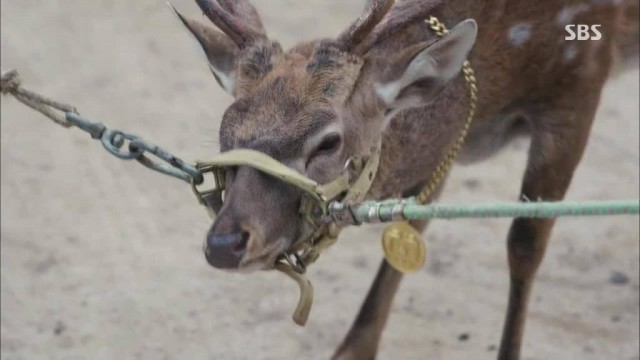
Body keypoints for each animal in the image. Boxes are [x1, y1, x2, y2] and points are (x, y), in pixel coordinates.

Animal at [171, 0, 640, 358]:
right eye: (225, 134)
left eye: (328, 142)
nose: (224, 243)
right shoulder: (449, 145)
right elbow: (414, 225)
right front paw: (352, 349)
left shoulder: (580, 84)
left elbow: (526, 245)